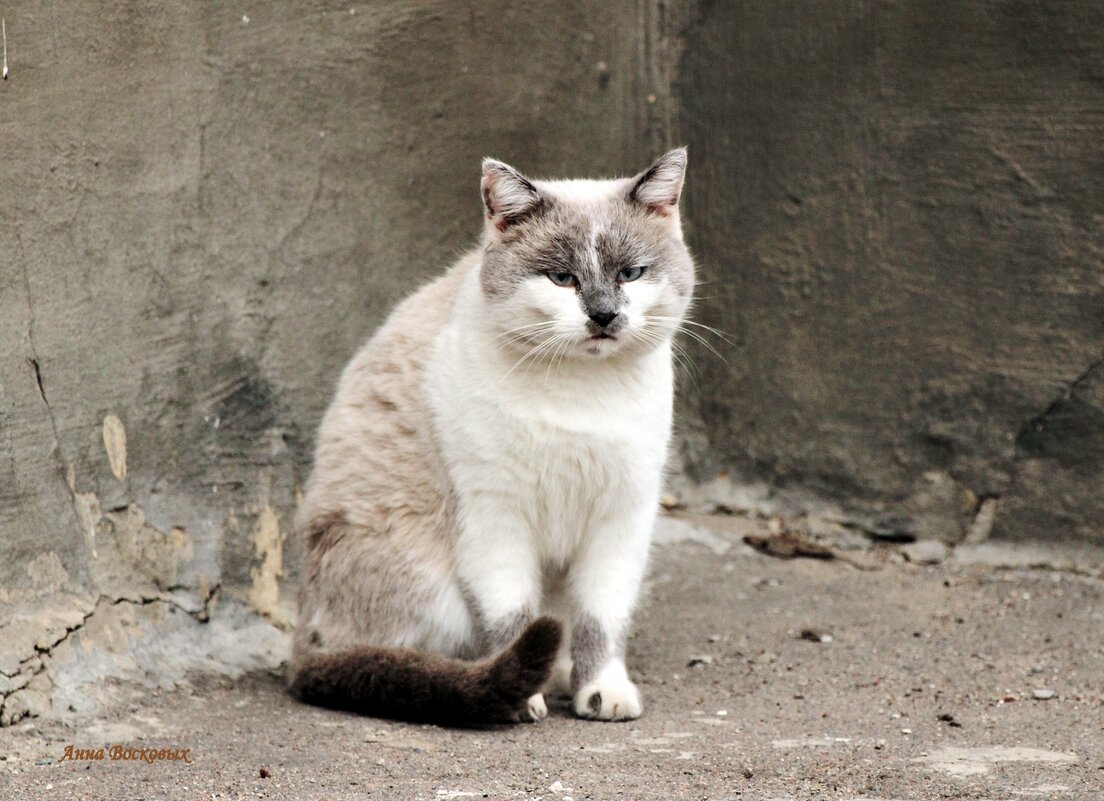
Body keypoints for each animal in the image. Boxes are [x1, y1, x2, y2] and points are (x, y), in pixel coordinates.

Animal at [289, 147, 693, 723]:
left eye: (631, 274)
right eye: (561, 278)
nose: (604, 315)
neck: (580, 393)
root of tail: (300, 640)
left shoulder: (620, 518)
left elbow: (600, 623)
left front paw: (602, 694)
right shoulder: (494, 518)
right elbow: (512, 621)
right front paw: (527, 698)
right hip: (431, 585)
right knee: (413, 658)